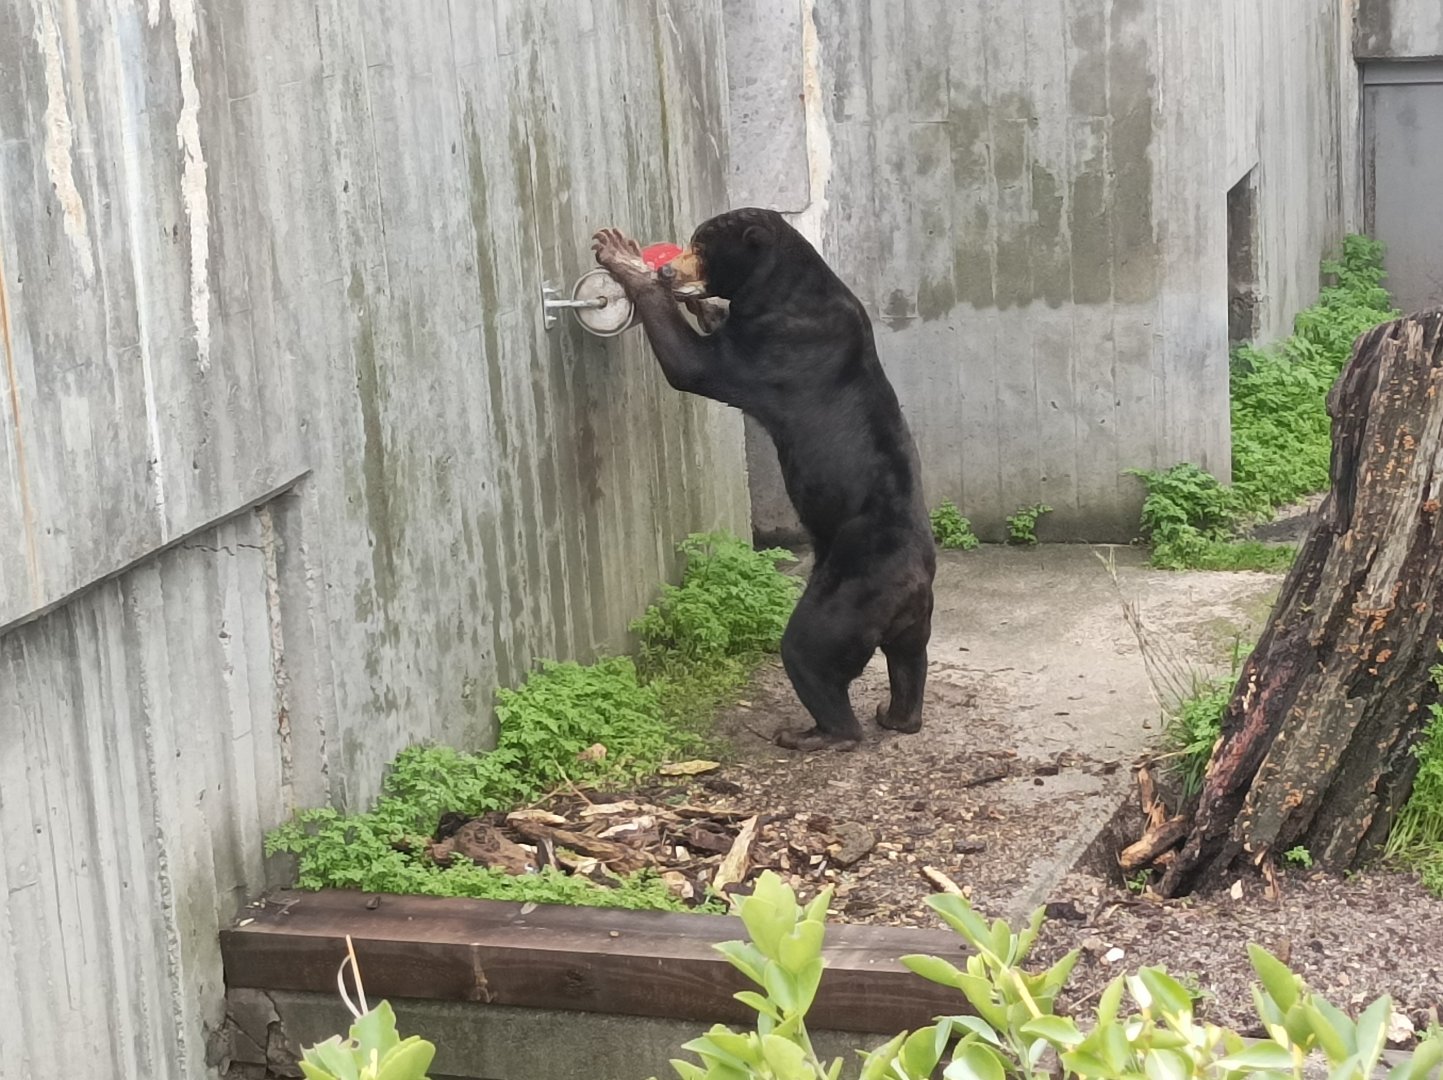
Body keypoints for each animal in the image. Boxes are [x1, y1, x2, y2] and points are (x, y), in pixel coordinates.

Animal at [592, 208, 935, 751]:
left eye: (700, 245)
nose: (668, 271)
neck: (777, 287)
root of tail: (915, 582)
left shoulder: (778, 344)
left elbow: (693, 365)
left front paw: (622, 256)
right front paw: (702, 303)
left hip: (850, 591)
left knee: (809, 652)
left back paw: (813, 734)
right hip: (909, 623)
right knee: (908, 660)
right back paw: (895, 715)